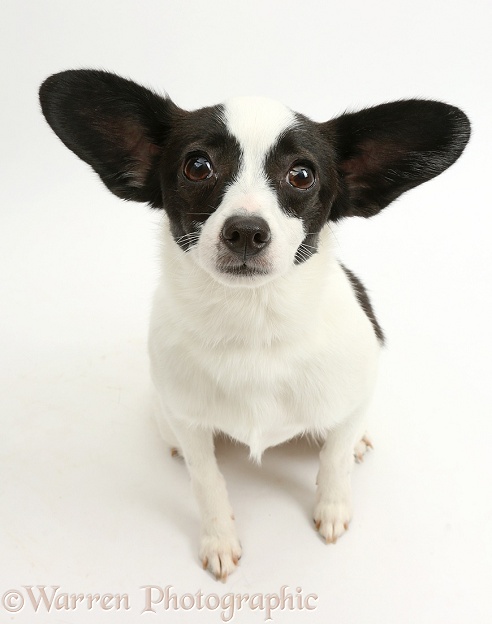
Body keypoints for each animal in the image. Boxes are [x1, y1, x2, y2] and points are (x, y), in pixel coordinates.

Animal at [38, 70, 468, 584]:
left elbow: (336, 459)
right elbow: (207, 484)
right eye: (197, 166)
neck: (254, 325)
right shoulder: (190, 423)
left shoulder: (353, 395)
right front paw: (219, 539)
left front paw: (332, 506)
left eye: (302, 175)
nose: (245, 230)